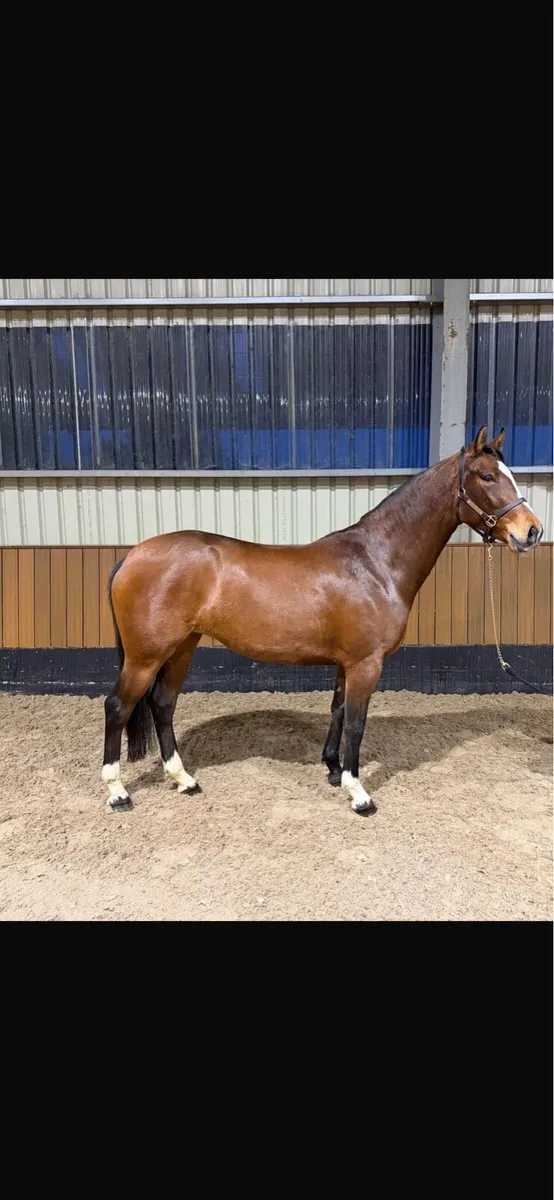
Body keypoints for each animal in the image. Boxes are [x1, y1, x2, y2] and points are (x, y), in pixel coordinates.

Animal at [102, 426, 543, 815]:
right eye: (487, 476)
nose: (532, 531)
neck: (376, 563)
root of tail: (132, 555)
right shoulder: (367, 663)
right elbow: (357, 723)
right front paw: (358, 792)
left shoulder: (347, 663)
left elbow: (338, 711)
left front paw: (333, 769)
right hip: (146, 656)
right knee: (118, 706)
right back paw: (118, 792)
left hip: (181, 648)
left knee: (162, 703)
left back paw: (184, 779)